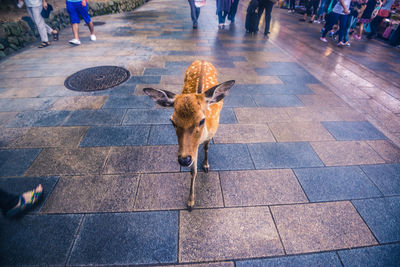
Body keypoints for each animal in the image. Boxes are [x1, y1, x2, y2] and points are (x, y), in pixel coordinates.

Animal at [143, 60, 234, 211]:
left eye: (202, 120)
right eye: (172, 120)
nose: (183, 160)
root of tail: (202, 60)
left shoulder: (210, 134)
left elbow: (206, 148)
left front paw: (206, 165)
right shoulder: (192, 149)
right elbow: (193, 171)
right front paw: (190, 202)